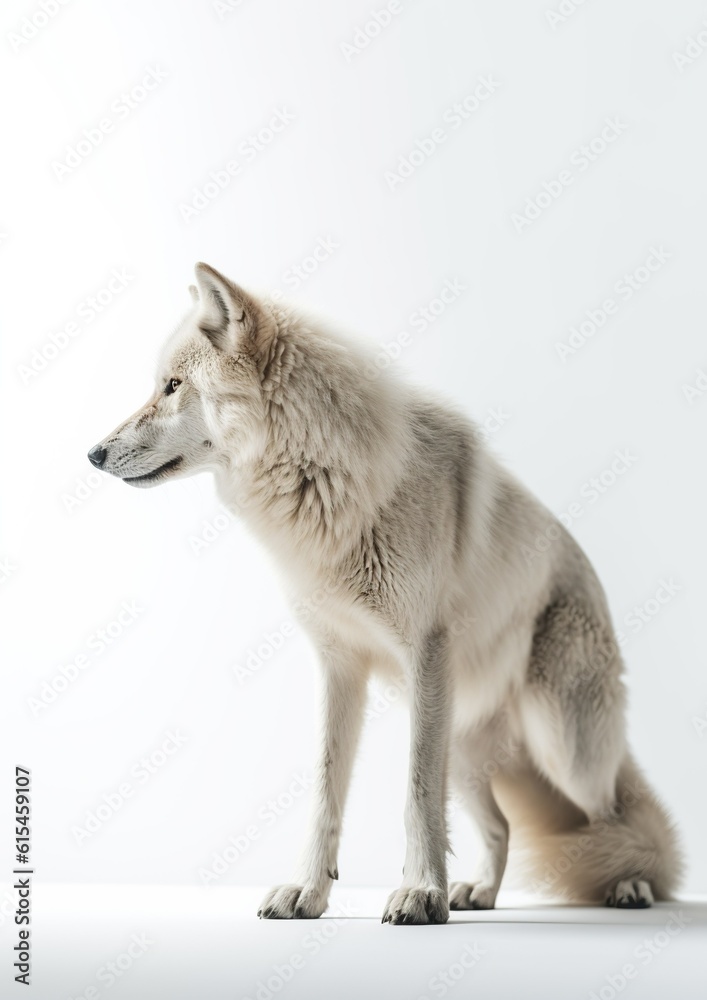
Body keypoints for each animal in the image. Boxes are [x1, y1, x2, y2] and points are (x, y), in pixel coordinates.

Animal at [88, 263, 681, 924]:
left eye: (171, 386)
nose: (93, 454)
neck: (329, 482)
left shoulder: (424, 654)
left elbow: (415, 793)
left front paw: (420, 894)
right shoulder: (340, 667)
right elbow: (326, 790)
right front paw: (309, 893)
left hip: (563, 746)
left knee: (610, 819)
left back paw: (626, 885)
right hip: (467, 744)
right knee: (503, 827)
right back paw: (478, 892)